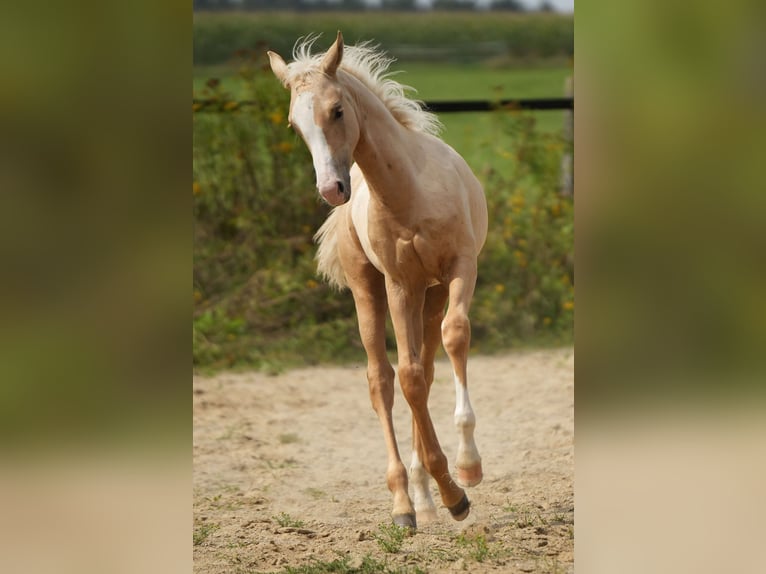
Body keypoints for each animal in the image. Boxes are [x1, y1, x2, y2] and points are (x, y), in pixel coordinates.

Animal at [268, 35, 488, 532]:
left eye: (337, 110)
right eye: (294, 124)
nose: (331, 188)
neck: (409, 192)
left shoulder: (460, 267)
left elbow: (453, 338)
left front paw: (467, 468)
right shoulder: (399, 285)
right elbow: (406, 379)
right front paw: (453, 490)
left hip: (431, 293)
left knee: (425, 368)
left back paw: (426, 496)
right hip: (370, 292)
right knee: (382, 380)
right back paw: (407, 504)